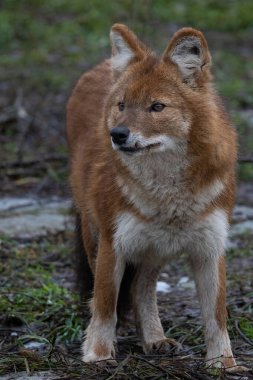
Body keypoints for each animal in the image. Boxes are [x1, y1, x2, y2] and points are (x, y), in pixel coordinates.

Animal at [66, 24, 237, 368]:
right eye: (121, 105)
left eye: (157, 106)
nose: (117, 135)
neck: (168, 193)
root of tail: (101, 65)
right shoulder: (113, 242)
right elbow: (104, 304)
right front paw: (98, 356)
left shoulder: (211, 247)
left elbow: (216, 314)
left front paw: (223, 363)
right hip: (95, 234)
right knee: (117, 292)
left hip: (155, 248)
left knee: (140, 287)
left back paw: (154, 339)